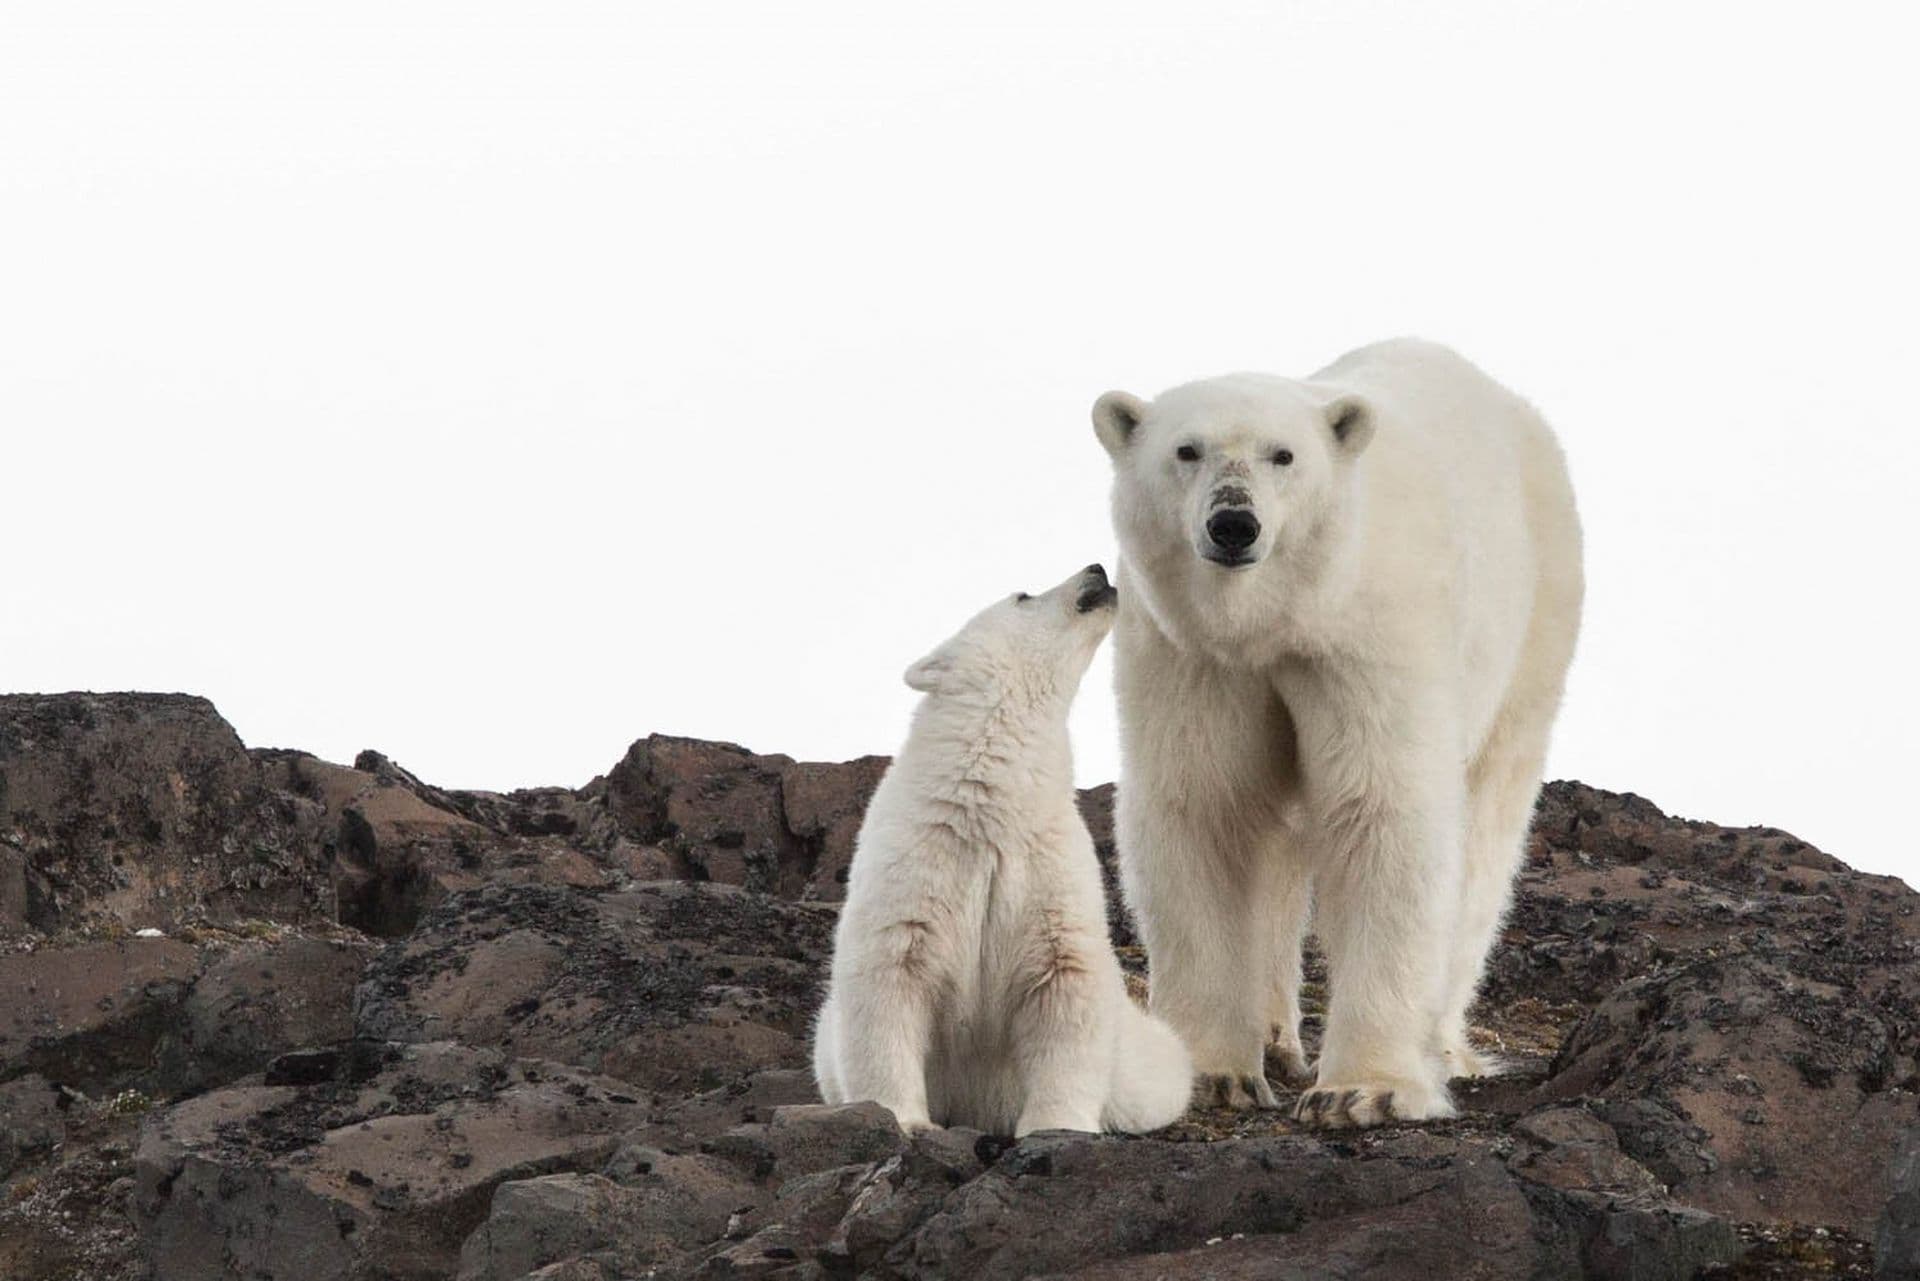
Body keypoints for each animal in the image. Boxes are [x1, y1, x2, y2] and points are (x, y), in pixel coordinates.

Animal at [812, 563, 1194, 1136]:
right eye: (1024, 595)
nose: (1098, 570)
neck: (988, 804)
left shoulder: (1046, 869)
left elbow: (1066, 979)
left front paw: (1056, 1125)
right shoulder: (913, 864)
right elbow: (888, 978)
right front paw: (902, 1117)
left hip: (1138, 1060)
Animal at [1090, 338, 1584, 1127]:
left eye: (1283, 455)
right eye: (1186, 450)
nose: (1235, 524)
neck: (1284, 619)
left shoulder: (1368, 638)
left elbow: (1379, 811)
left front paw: (1364, 1088)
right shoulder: (1194, 655)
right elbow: (1206, 804)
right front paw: (1212, 1073)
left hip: (1535, 613)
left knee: (1486, 828)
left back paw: (1441, 1042)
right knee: (1279, 840)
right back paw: (1273, 1033)